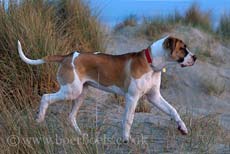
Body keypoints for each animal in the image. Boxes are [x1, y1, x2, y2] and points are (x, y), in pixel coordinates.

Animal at [17, 35, 196, 142]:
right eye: (182, 48)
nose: (195, 57)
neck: (151, 63)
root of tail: (68, 56)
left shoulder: (154, 97)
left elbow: (173, 110)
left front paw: (182, 128)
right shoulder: (132, 97)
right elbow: (128, 119)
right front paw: (126, 139)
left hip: (80, 93)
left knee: (70, 116)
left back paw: (80, 134)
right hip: (71, 91)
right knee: (45, 97)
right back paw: (39, 119)